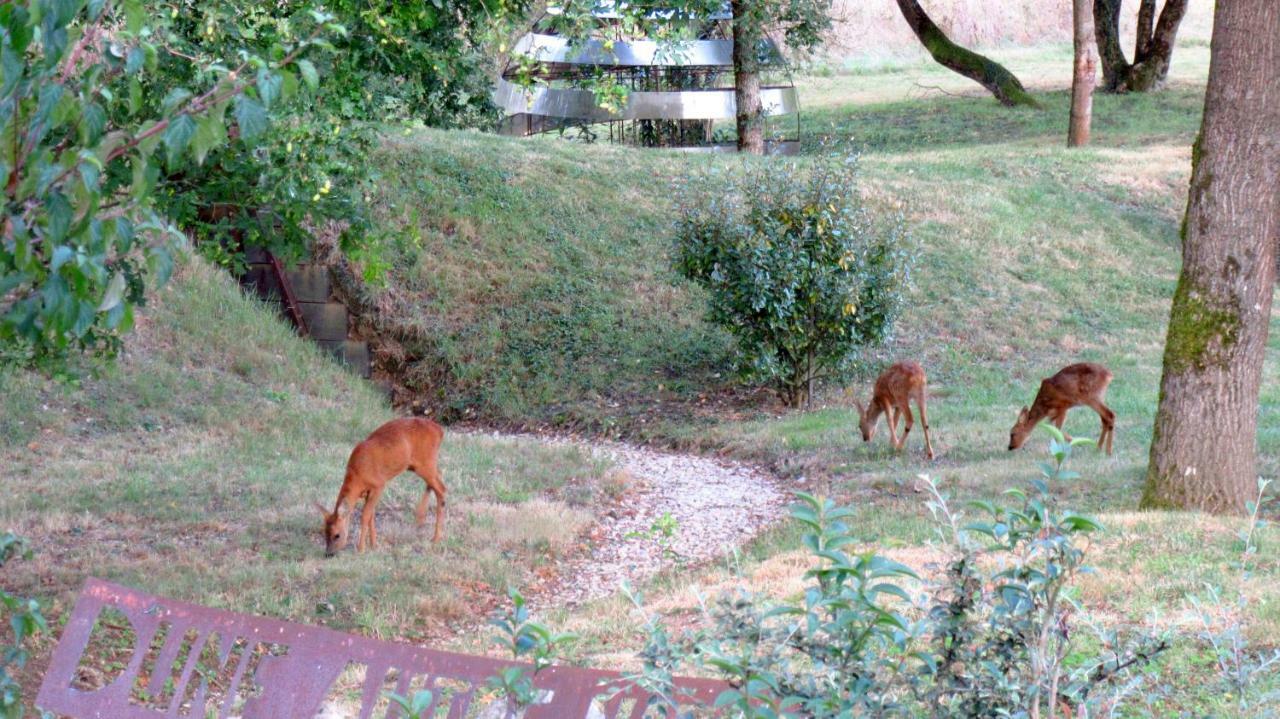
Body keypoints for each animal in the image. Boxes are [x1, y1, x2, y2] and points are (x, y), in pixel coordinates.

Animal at [313, 414, 445, 555]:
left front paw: (361, 549)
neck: (357, 475)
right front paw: (373, 545)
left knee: (442, 489)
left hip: (425, 463)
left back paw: (436, 537)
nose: (329, 553)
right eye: (325, 532)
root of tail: (440, 431)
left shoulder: (379, 485)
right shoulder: (368, 491)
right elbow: (371, 515)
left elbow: (365, 515)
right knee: (437, 480)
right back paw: (421, 518)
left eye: (337, 535)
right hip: (419, 466)